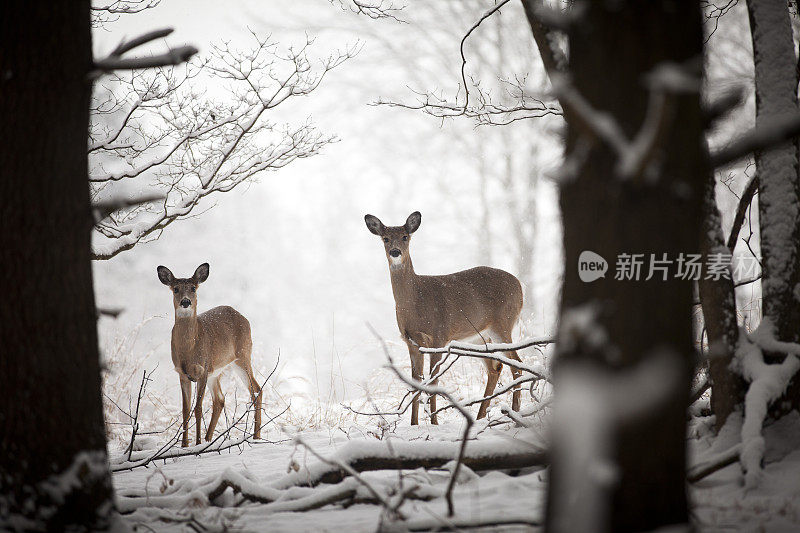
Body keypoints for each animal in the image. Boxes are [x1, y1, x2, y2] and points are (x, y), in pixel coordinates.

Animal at [158, 262, 264, 444]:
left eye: (193, 288)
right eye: (176, 289)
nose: (185, 302)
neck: (189, 350)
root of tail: (241, 316)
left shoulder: (203, 369)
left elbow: (198, 408)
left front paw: (197, 443)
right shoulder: (182, 373)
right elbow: (185, 410)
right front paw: (185, 445)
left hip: (243, 356)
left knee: (256, 390)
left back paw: (256, 437)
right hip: (217, 371)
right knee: (220, 399)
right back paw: (209, 439)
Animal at [362, 212, 524, 424]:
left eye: (405, 236)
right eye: (385, 238)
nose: (395, 252)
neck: (417, 301)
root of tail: (520, 286)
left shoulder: (439, 335)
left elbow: (434, 381)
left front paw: (434, 422)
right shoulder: (411, 341)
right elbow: (416, 382)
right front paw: (414, 424)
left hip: (502, 324)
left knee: (517, 365)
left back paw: (515, 413)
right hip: (480, 337)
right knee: (495, 368)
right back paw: (480, 417)